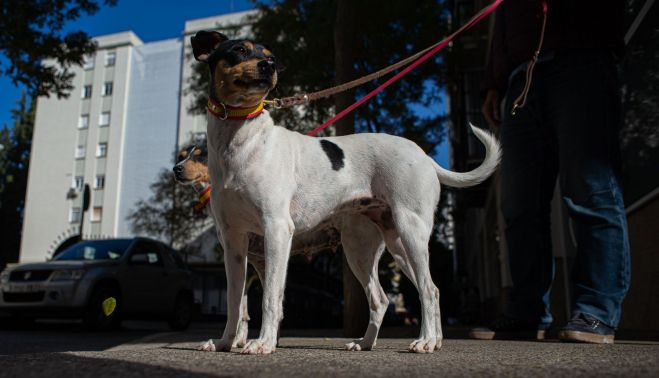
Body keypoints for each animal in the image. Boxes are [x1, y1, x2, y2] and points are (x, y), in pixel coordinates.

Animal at [191, 30, 500, 354]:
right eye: (240, 49)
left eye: (270, 54)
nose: (269, 65)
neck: (242, 140)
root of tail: (425, 156)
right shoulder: (234, 243)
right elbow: (234, 302)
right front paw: (225, 342)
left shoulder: (276, 230)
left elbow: (270, 298)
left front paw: (263, 343)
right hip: (372, 248)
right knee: (388, 297)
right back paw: (375, 342)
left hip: (410, 232)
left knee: (428, 289)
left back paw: (425, 341)